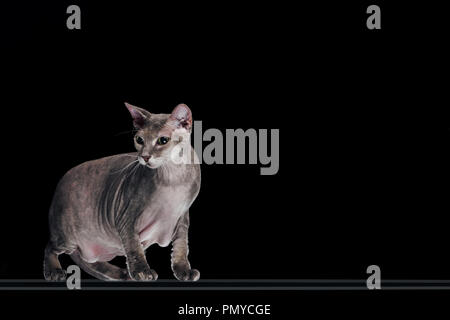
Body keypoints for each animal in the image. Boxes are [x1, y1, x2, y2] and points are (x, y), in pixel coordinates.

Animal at [43, 102, 200, 280]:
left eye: (163, 140)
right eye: (139, 140)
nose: (145, 157)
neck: (174, 178)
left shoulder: (181, 218)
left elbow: (181, 246)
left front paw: (184, 271)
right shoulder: (126, 219)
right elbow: (133, 247)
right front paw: (142, 271)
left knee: (90, 261)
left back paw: (120, 274)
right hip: (67, 237)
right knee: (50, 247)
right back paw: (54, 271)